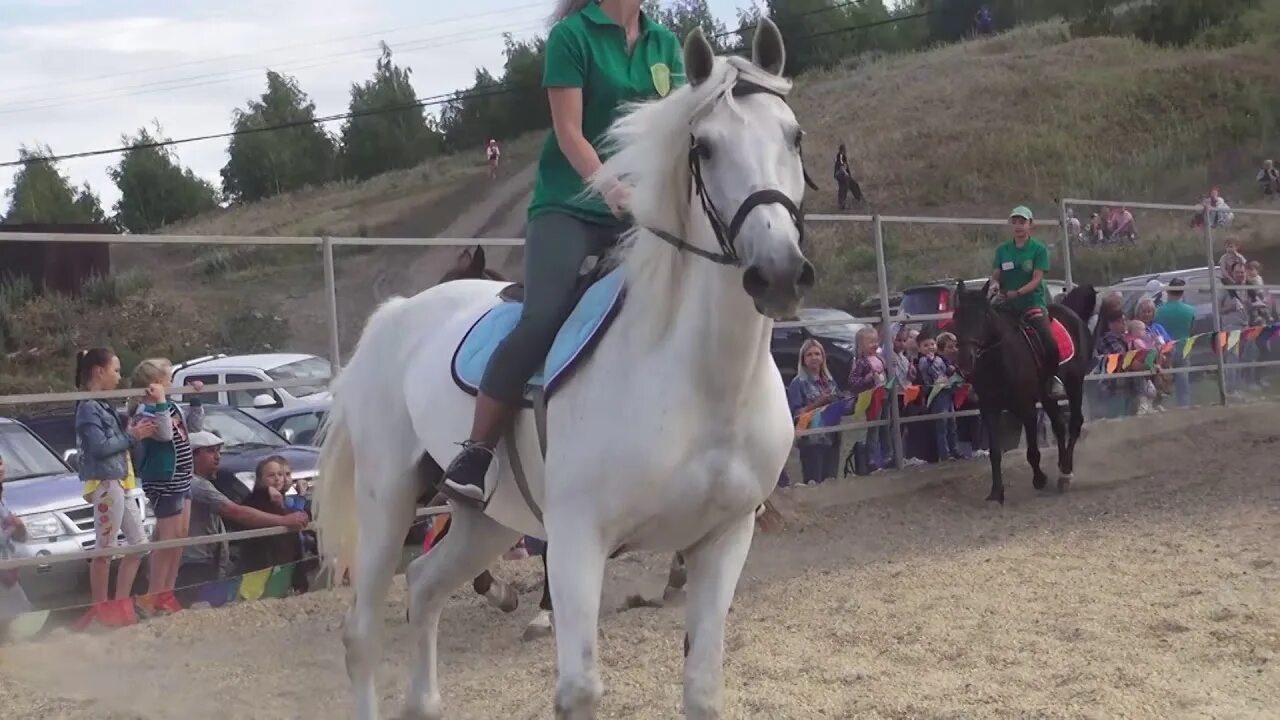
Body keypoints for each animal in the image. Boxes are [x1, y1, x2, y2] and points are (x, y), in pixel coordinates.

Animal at [312, 20, 808, 717]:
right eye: (705, 149)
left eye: (795, 137)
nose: (779, 274)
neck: (703, 383)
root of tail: (396, 314)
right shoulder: (576, 538)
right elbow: (579, 691)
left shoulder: (724, 537)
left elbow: (704, 688)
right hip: (388, 501)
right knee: (361, 633)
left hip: (484, 518)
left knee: (426, 585)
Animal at [957, 278, 1095, 502]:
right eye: (957, 316)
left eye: (984, 316)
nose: (964, 360)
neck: (999, 359)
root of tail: (1071, 313)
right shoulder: (989, 408)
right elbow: (995, 452)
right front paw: (996, 492)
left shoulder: (1026, 406)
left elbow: (1032, 451)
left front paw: (1039, 479)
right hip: (1046, 395)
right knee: (1059, 425)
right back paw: (1061, 466)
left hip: (1075, 383)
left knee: (1075, 422)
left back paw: (1065, 473)